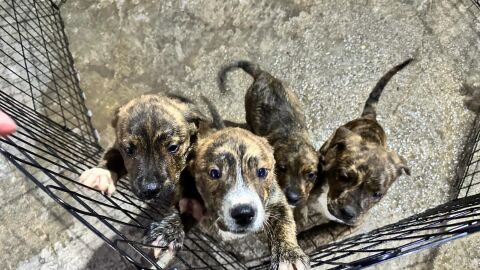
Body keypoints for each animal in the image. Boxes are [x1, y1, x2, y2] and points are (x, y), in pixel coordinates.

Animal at [145, 127, 308, 270]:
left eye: (262, 172)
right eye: (214, 173)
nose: (244, 214)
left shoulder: (276, 199)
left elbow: (284, 223)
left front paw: (288, 255)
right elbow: (183, 204)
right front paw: (170, 231)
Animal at [218, 61, 318, 226]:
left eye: (310, 174)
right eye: (282, 168)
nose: (292, 198)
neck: (291, 137)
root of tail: (263, 74)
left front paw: (302, 215)